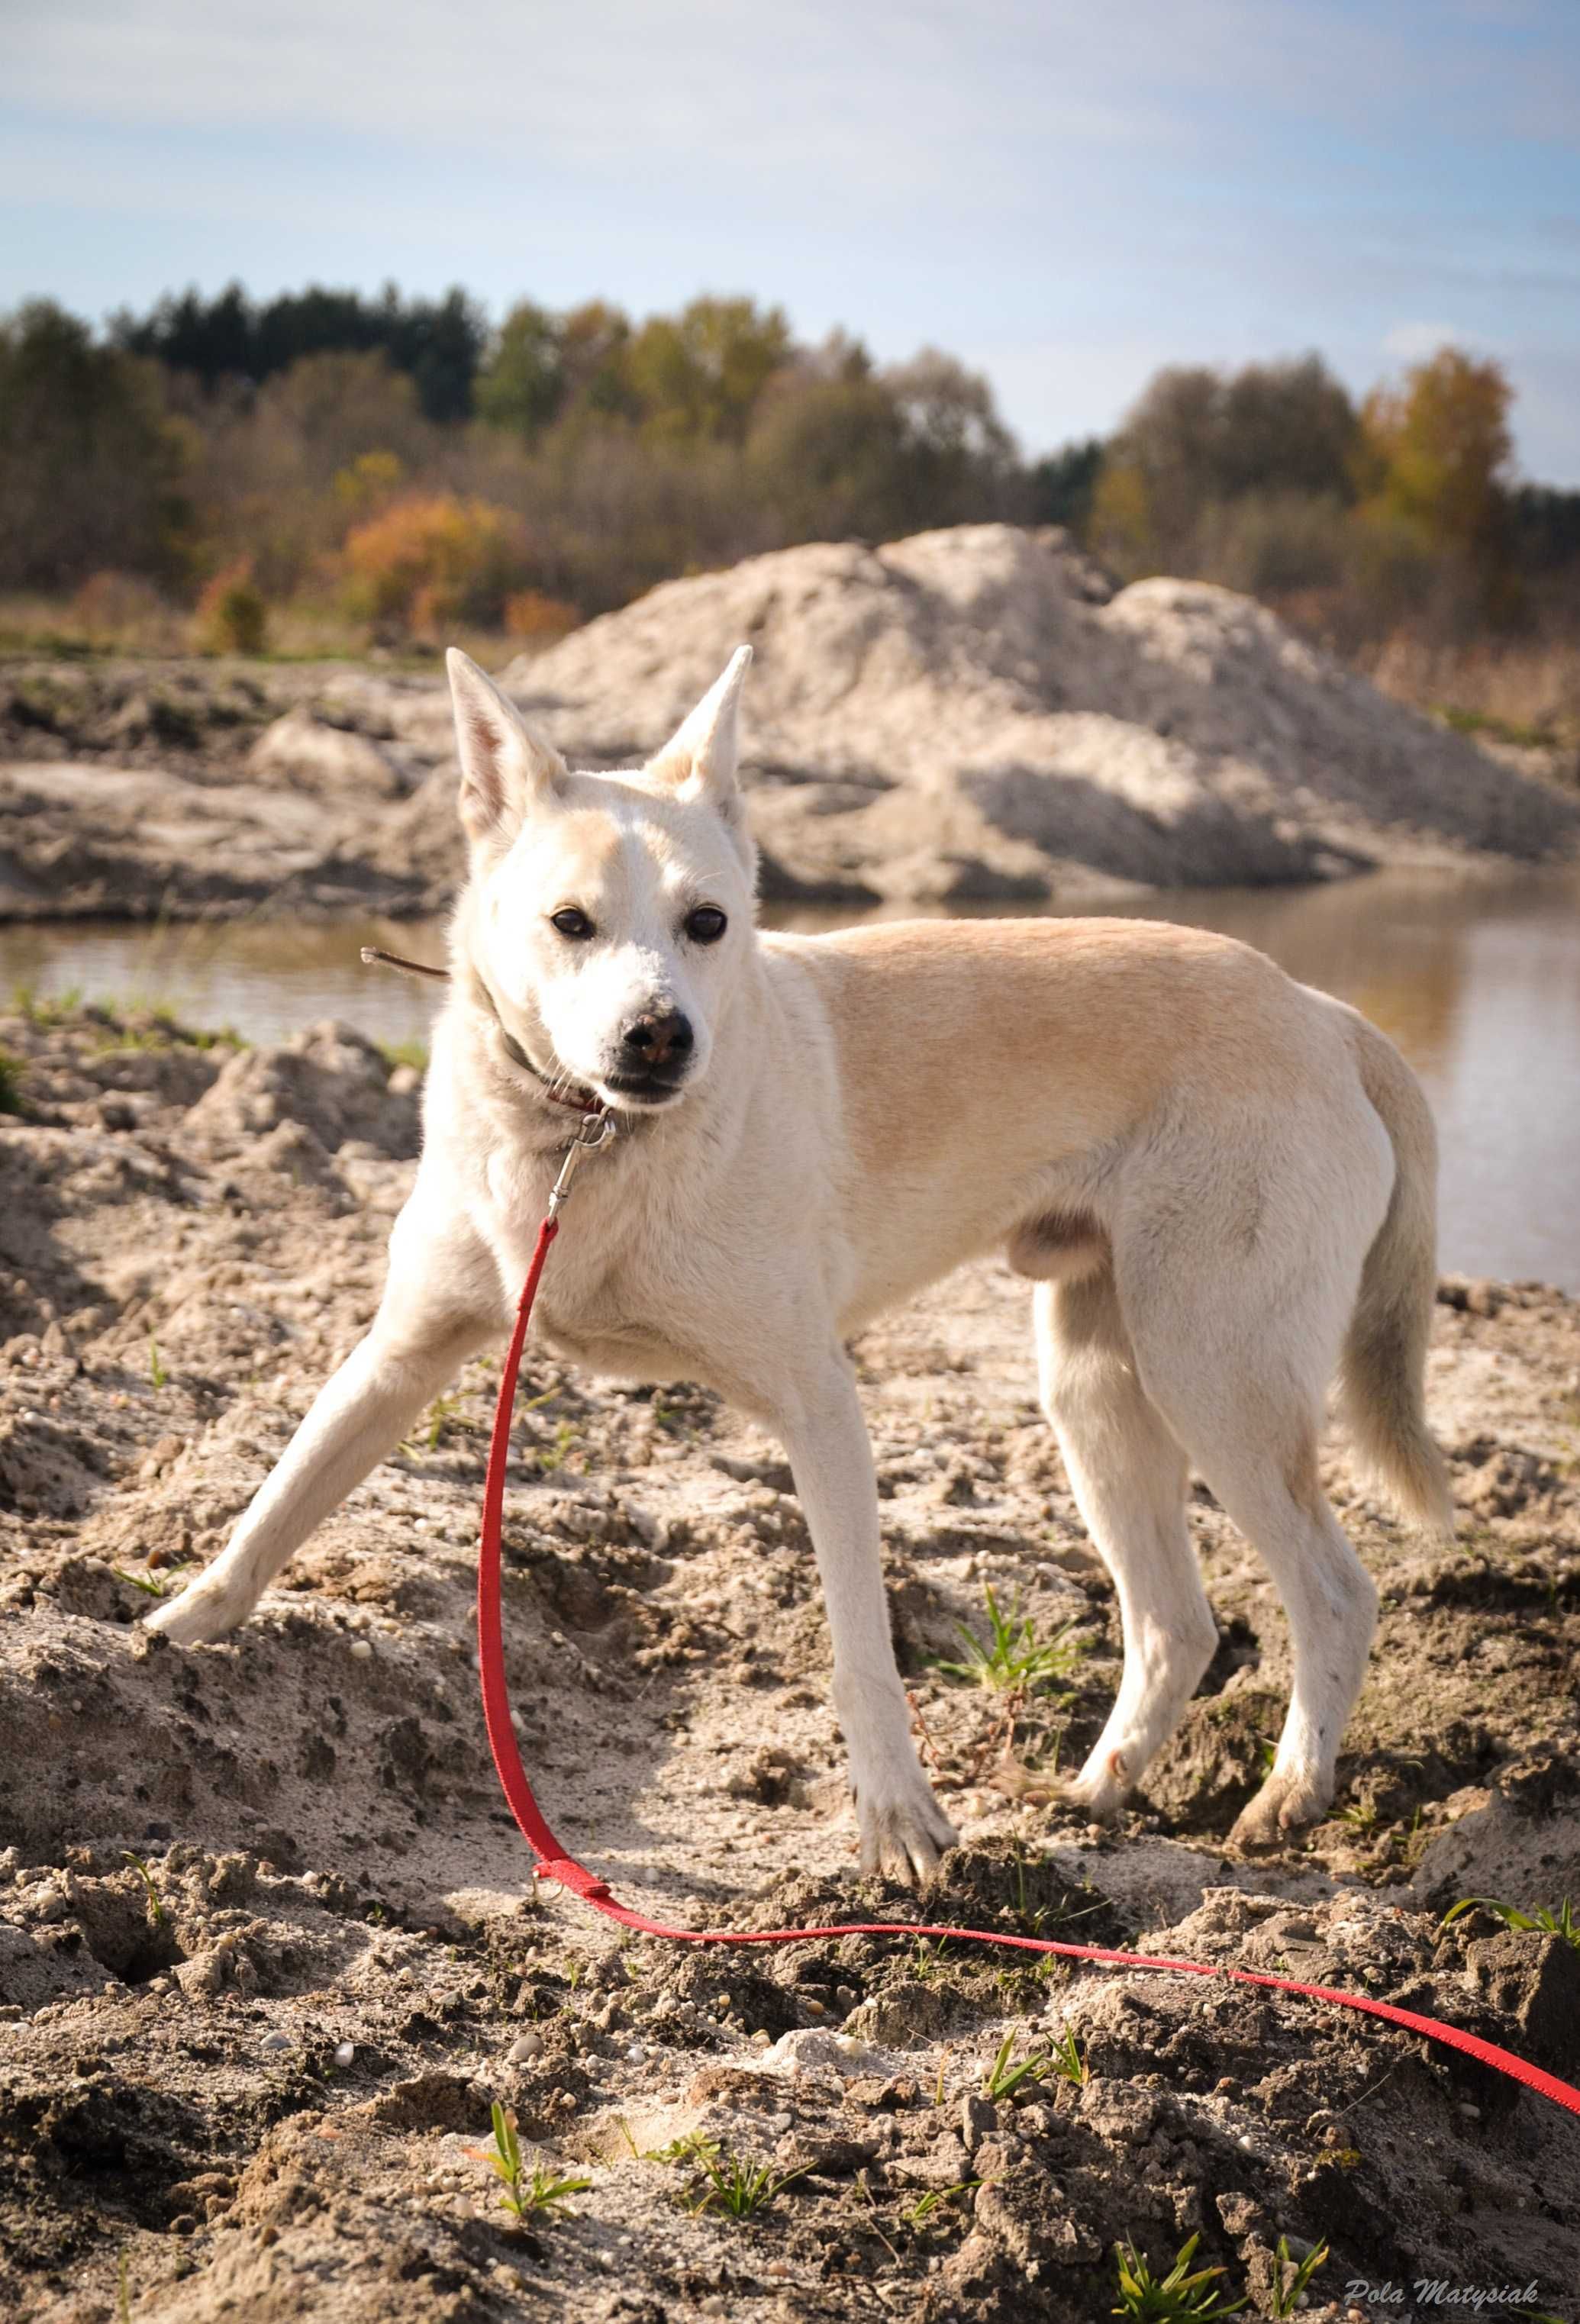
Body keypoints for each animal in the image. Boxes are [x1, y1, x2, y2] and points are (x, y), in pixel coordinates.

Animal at [150, 646, 1459, 1878]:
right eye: (571, 923)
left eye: (709, 924)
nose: (660, 1036)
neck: (587, 1143)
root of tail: (1322, 1011)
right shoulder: (399, 1353)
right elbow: (281, 1495)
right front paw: (171, 1629)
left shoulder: (819, 1405)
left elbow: (858, 1652)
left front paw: (898, 1822)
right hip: (1097, 1383)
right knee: (1175, 1623)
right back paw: (1097, 1791)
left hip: (1211, 1372)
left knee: (1333, 1590)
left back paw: (1289, 1790)